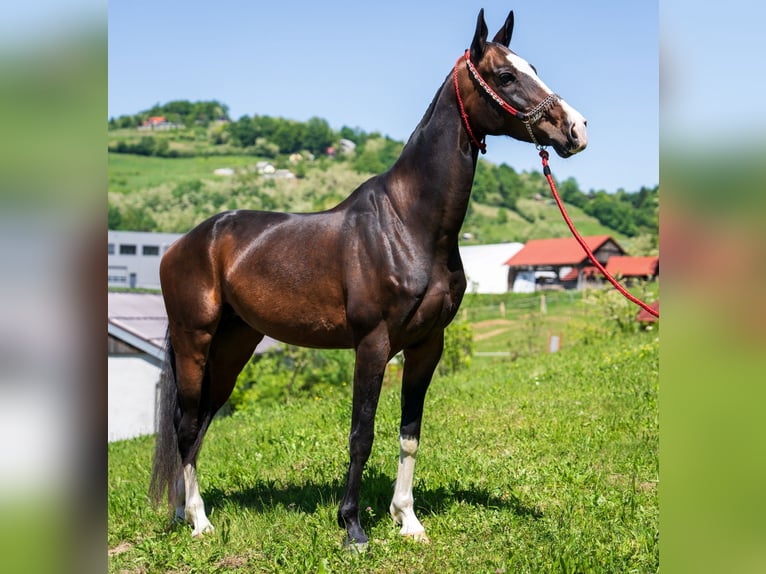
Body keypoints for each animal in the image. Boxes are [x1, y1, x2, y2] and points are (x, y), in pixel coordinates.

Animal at [153, 9, 592, 548]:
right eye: (506, 75)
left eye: (533, 67)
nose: (576, 128)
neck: (408, 224)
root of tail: (184, 244)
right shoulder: (372, 343)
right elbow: (361, 434)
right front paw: (353, 527)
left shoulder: (427, 345)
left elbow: (410, 433)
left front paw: (408, 519)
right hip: (195, 340)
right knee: (187, 424)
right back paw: (199, 520)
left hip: (235, 344)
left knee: (199, 422)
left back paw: (181, 512)